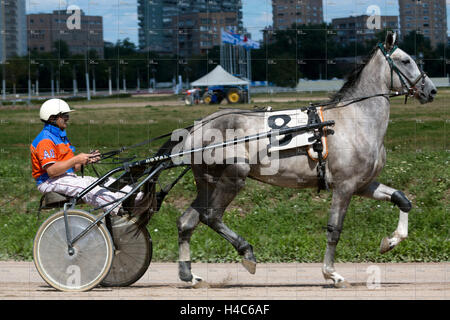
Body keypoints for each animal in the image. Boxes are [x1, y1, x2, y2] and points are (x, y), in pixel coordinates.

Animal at [171, 32, 436, 288]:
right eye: (406, 60)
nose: (431, 90)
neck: (354, 120)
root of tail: (198, 128)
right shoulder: (344, 186)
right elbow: (334, 230)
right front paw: (331, 274)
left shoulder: (362, 184)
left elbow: (403, 200)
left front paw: (391, 241)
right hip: (234, 174)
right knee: (211, 216)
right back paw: (247, 253)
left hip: (208, 182)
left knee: (187, 221)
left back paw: (188, 275)